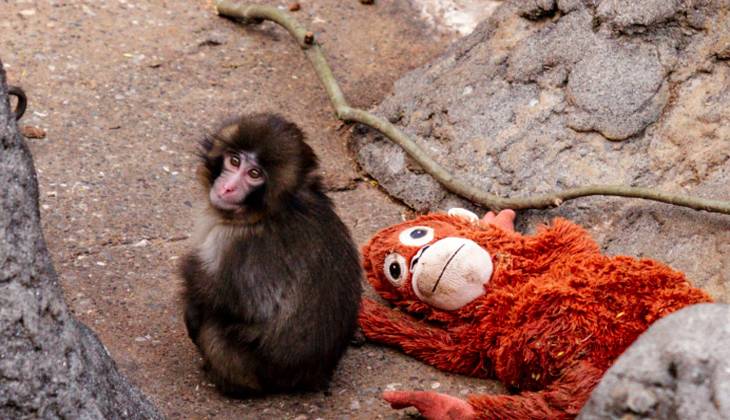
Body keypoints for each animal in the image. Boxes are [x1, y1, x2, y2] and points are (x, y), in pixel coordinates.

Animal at [180, 113, 363, 396]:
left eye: (254, 174)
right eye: (234, 161)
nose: (228, 188)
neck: (267, 212)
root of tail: (314, 375)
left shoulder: (235, 243)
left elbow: (238, 304)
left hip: (254, 371)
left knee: (214, 328)